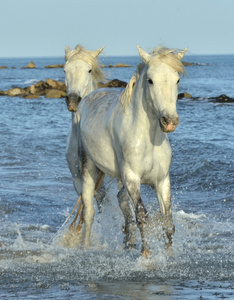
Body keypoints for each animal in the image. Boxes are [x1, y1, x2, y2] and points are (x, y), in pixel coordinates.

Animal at [73, 45, 186, 256]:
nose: (169, 121)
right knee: (89, 211)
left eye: (177, 79)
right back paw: (86, 247)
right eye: (150, 80)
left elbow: (167, 220)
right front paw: (146, 255)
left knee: (120, 202)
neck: (148, 140)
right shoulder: (132, 178)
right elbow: (142, 216)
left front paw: (169, 254)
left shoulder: (162, 180)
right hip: (89, 169)